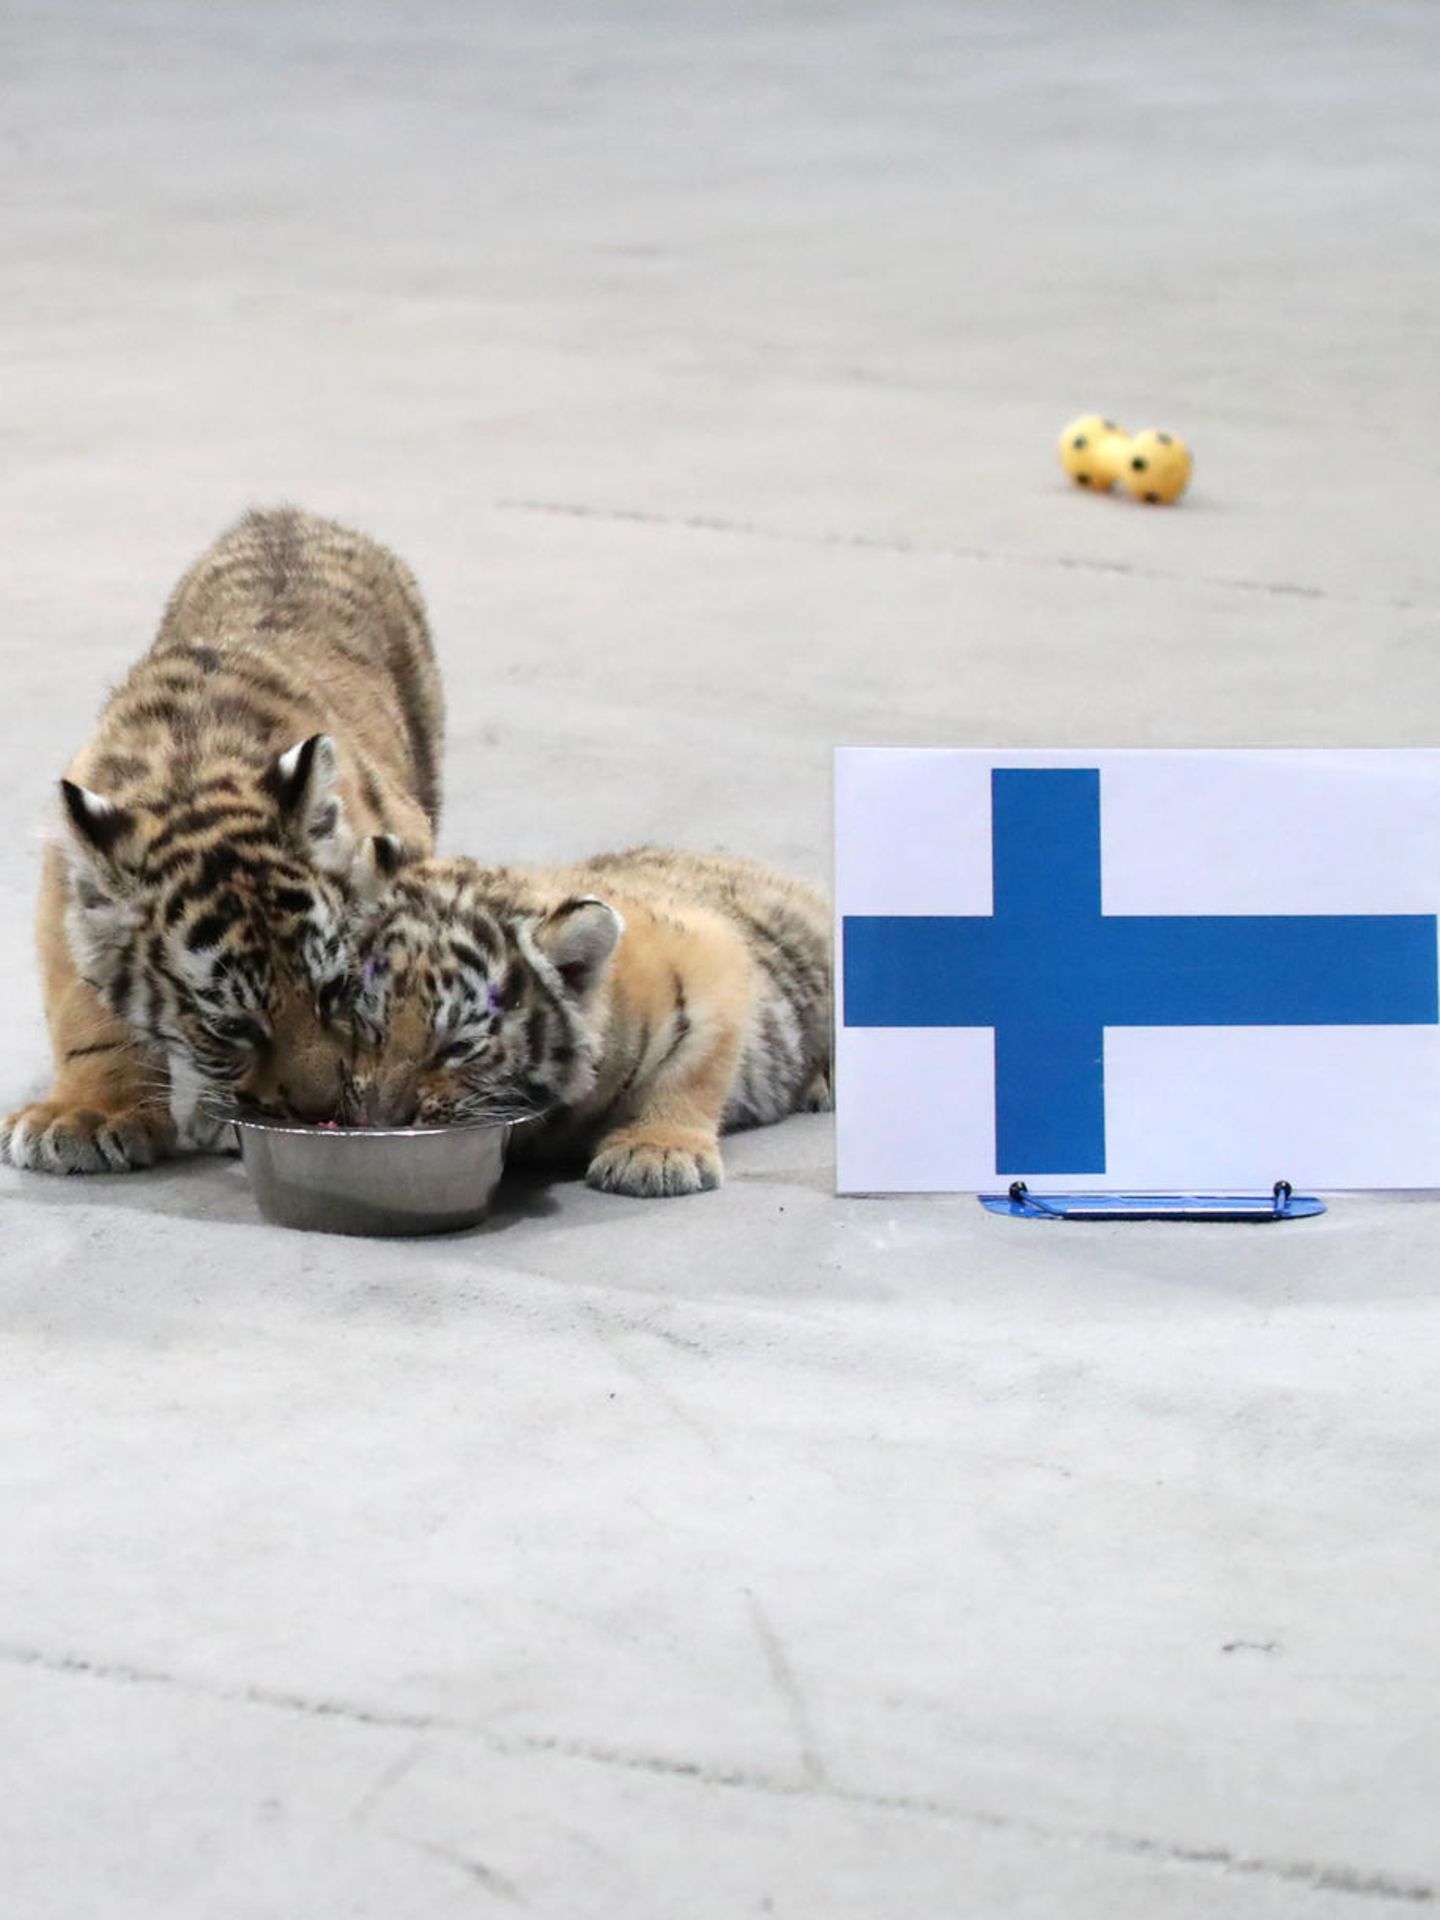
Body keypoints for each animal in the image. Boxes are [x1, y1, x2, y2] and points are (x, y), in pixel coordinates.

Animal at [1, 506, 443, 1174]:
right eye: (230, 1027)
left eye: (334, 989)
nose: (320, 1112)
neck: (192, 772)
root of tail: (287, 515)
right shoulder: (67, 891)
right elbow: (84, 1011)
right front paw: (87, 1116)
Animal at [343, 843, 832, 1197]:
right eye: (371, 1027)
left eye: (459, 1048)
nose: (383, 1120)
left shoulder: (712, 955)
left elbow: (691, 1069)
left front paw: (655, 1154)